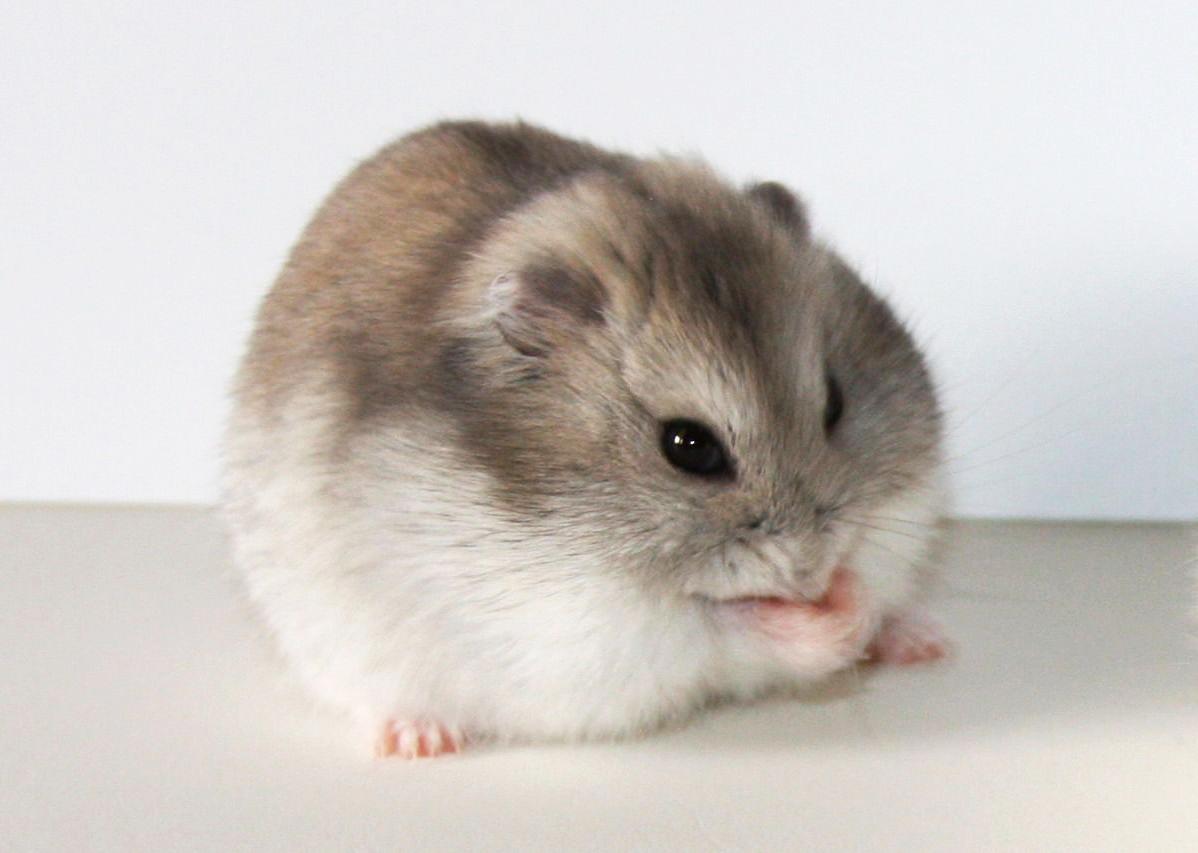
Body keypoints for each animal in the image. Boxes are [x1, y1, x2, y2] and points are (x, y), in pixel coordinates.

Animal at [222, 120, 948, 758]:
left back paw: (923, 641)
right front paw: (829, 613)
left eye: (834, 402)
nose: (810, 571)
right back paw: (418, 741)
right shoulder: (592, 627)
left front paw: (855, 600)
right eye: (689, 447)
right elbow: (723, 625)